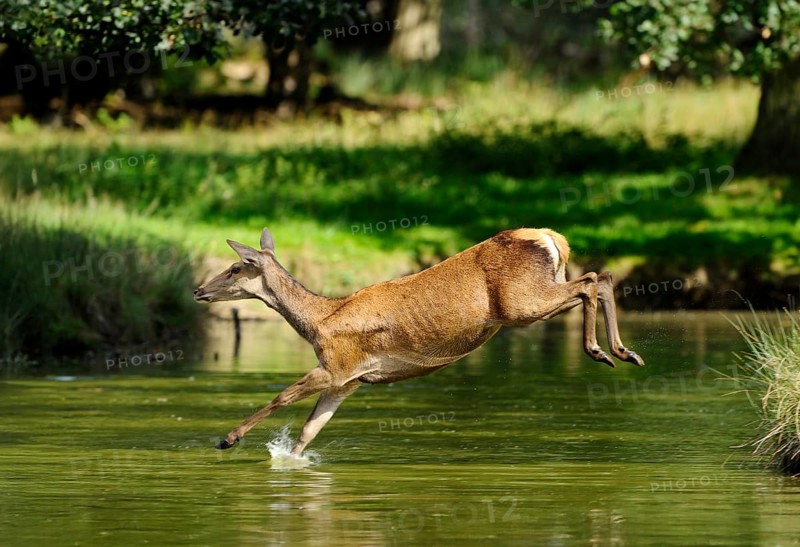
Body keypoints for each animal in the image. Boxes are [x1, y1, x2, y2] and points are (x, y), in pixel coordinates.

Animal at [193, 227, 644, 455]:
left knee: (590, 280)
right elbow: (309, 432)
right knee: (600, 276)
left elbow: (281, 397)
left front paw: (228, 439)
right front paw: (291, 463)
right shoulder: (348, 382)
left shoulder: (336, 365)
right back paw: (625, 352)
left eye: (235, 267)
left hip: (521, 303)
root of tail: (552, 237)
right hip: (532, 297)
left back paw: (599, 350)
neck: (321, 319)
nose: (198, 290)